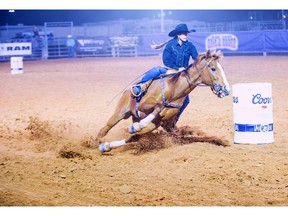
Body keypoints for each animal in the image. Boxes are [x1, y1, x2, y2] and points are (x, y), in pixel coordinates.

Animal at [95, 49, 231, 153]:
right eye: (213, 69)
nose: (226, 90)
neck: (174, 89)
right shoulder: (144, 105)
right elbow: (159, 105)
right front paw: (137, 126)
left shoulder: (156, 123)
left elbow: (137, 133)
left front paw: (136, 127)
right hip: (120, 113)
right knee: (104, 129)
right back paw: (95, 142)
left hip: (135, 117)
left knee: (133, 137)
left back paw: (105, 145)